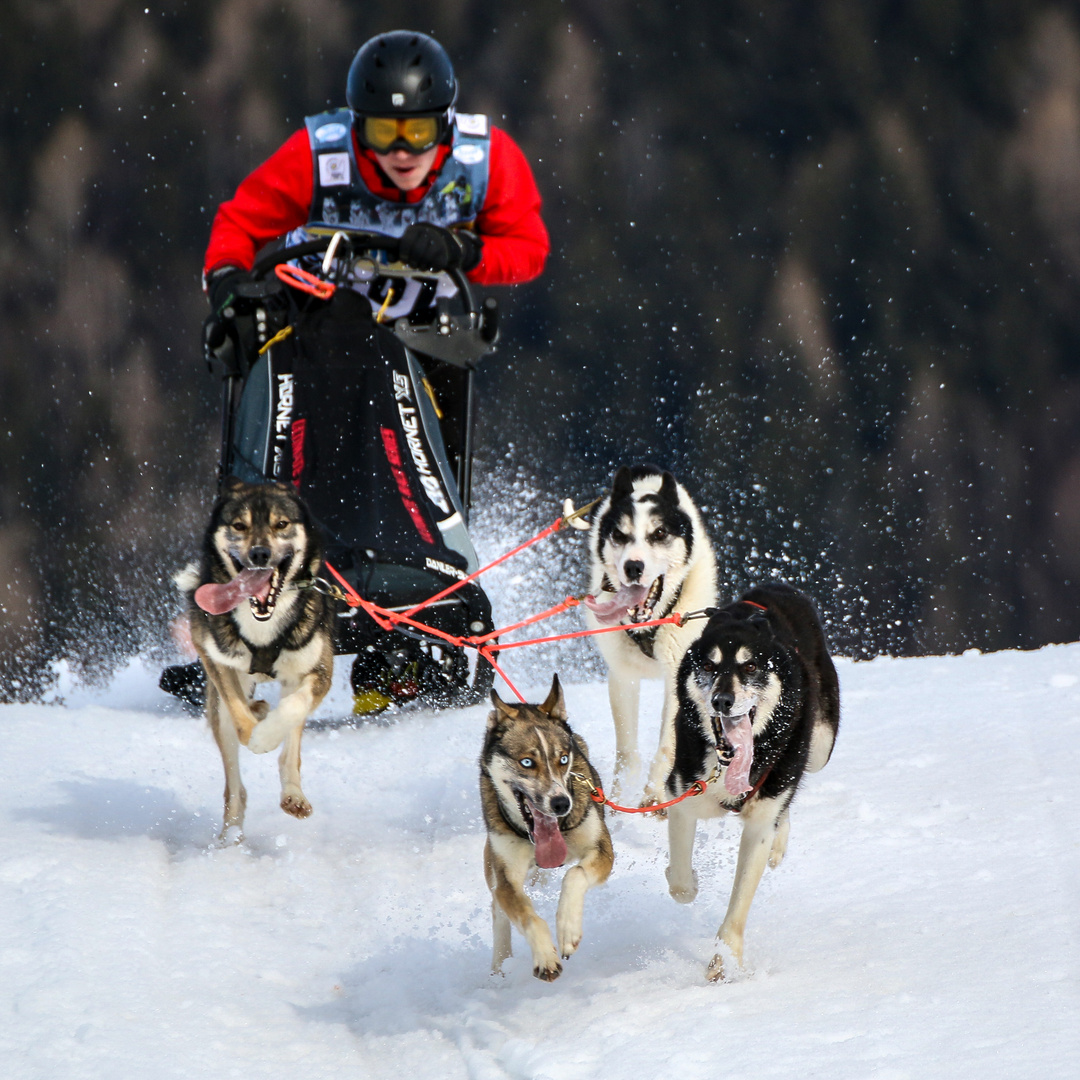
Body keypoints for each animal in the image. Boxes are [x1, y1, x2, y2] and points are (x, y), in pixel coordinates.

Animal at [179, 481, 334, 842]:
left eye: (281, 524)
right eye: (239, 525)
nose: (260, 554)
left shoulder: (318, 670)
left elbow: (293, 709)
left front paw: (266, 735)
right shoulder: (215, 658)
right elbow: (239, 716)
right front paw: (256, 733)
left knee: (291, 746)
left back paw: (292, 792)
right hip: (219, 707)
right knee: (235, 790)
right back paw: (231, 838)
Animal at [477, 678, 613, 984]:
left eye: (562, 759)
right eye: (527, 762)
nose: (561, 803)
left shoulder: (601, 848)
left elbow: (575, 875)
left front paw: (568, 929)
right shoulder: (507, 878)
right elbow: (527, 916)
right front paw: (545, 956)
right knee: (498, 911)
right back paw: (499, 969)